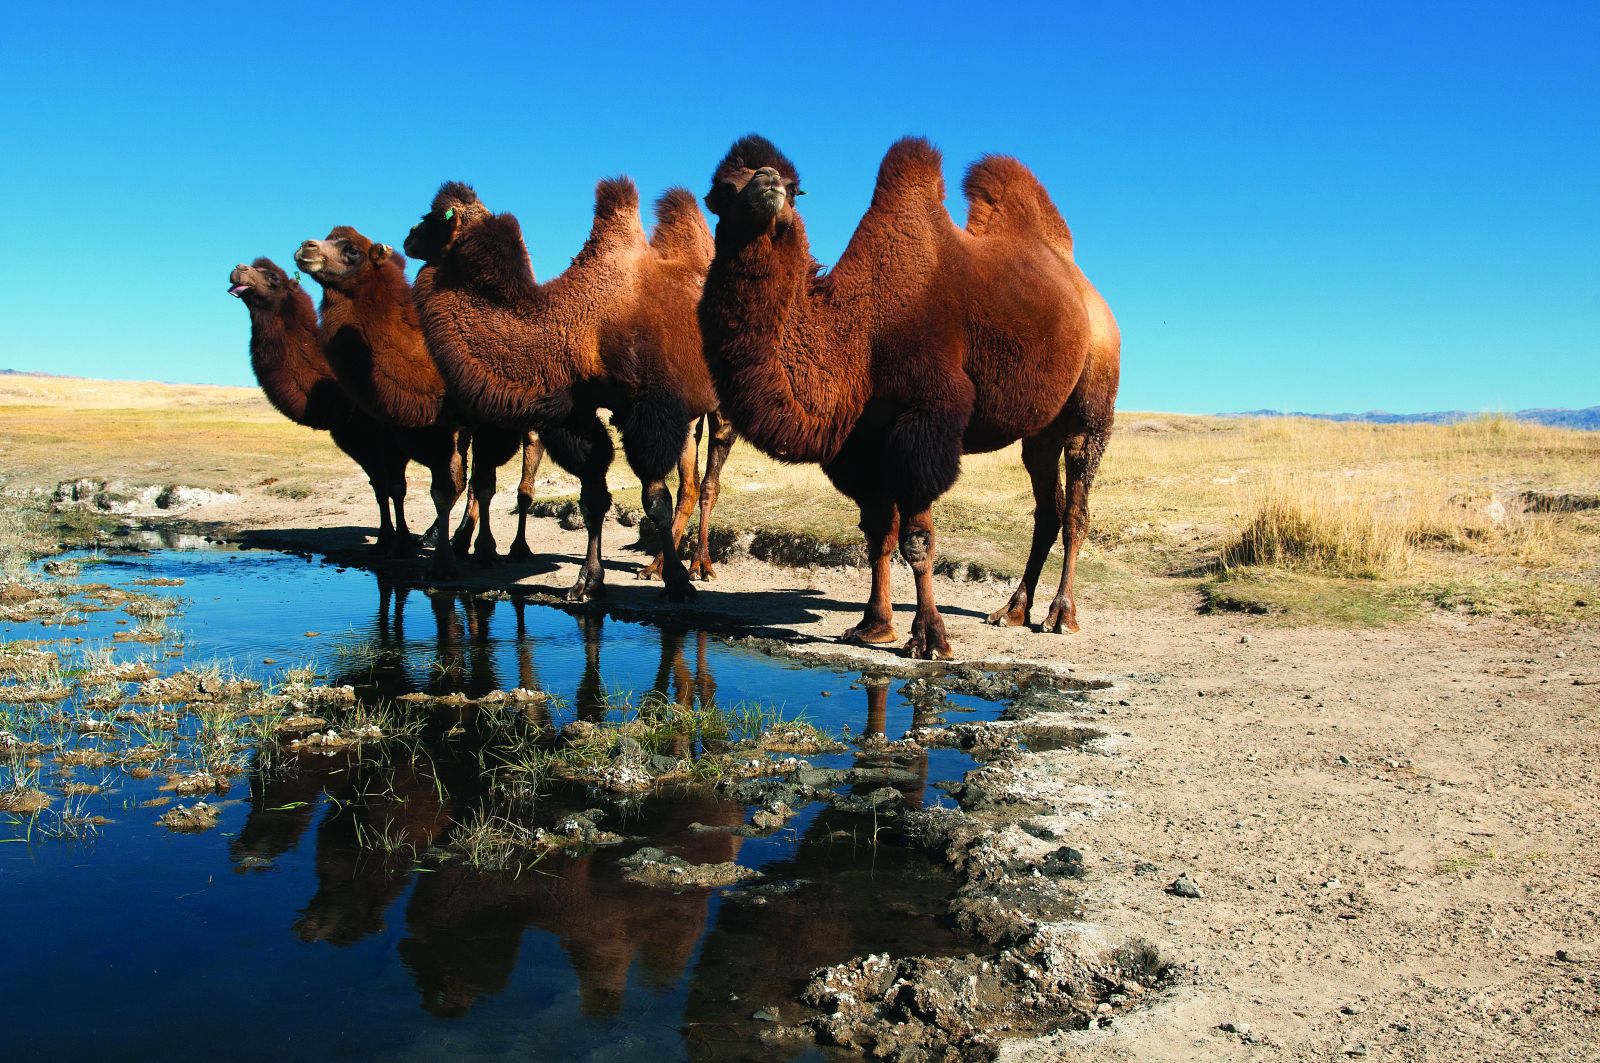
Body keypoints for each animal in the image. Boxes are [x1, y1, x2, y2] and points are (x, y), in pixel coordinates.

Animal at [227, 260, 416, 550]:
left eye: (273, 277)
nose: (239, 268)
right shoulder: (351, 436)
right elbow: (378, 486)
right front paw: (384, 540)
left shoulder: (390, 432)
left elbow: (396, 486)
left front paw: (403, 542)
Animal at [297, 227, 547, 576]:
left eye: (351, 251)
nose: (306, 248)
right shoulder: (436, 425)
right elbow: (443, 488)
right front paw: (438, 557)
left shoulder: (484, 421)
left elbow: (482, 485)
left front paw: (484, 552)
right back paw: (457, 541)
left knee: (522, 479)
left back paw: (517, 548)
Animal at [403, 182, 732, 605]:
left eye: (433, 217)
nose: (409, 237)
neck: (576, 324)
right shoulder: (578, 414)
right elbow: (593, 499)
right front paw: (587, 582)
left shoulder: (648, 409)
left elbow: (656, 501)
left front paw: (678, 585)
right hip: (689, 418)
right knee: (689, 484)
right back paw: (661, 565)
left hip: (720, 407)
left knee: (707, 482)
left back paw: (694, 566)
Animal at [700, 136, 1126, 659]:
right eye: (721, 190)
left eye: (797, 190)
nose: (768, 183)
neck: (861, 333)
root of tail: (1088, 292)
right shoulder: (861, 444)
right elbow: (878, 536)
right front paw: (873, 626)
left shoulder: (925, 421)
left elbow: (917, 539)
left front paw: (929, 638)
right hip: (1039, 432)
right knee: (1046, 506)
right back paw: (1012, 610)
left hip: (1093, 402)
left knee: (1076, 508)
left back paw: (1061, 615)